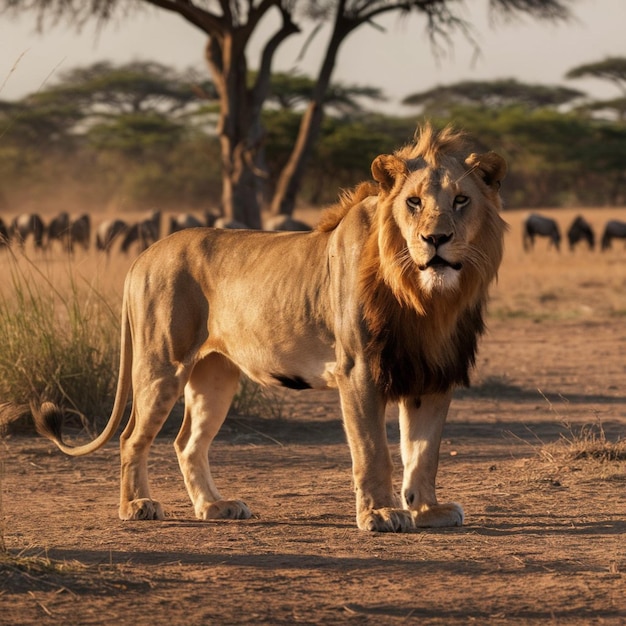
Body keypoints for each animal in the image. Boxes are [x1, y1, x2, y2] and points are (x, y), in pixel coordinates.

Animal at [34, 123, 504, 532]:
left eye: (461, 200)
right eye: (414, 202)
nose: (436, 239)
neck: (426, 299)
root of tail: (144, 254)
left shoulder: (432, 373)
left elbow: (423, 452)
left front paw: (426, 511)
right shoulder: (359, 371)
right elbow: (374, 451)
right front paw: (381, 514)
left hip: (215, 375)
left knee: (187, 443)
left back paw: (215, 506)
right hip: (161, 365)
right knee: (132, 437)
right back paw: (137, 505)